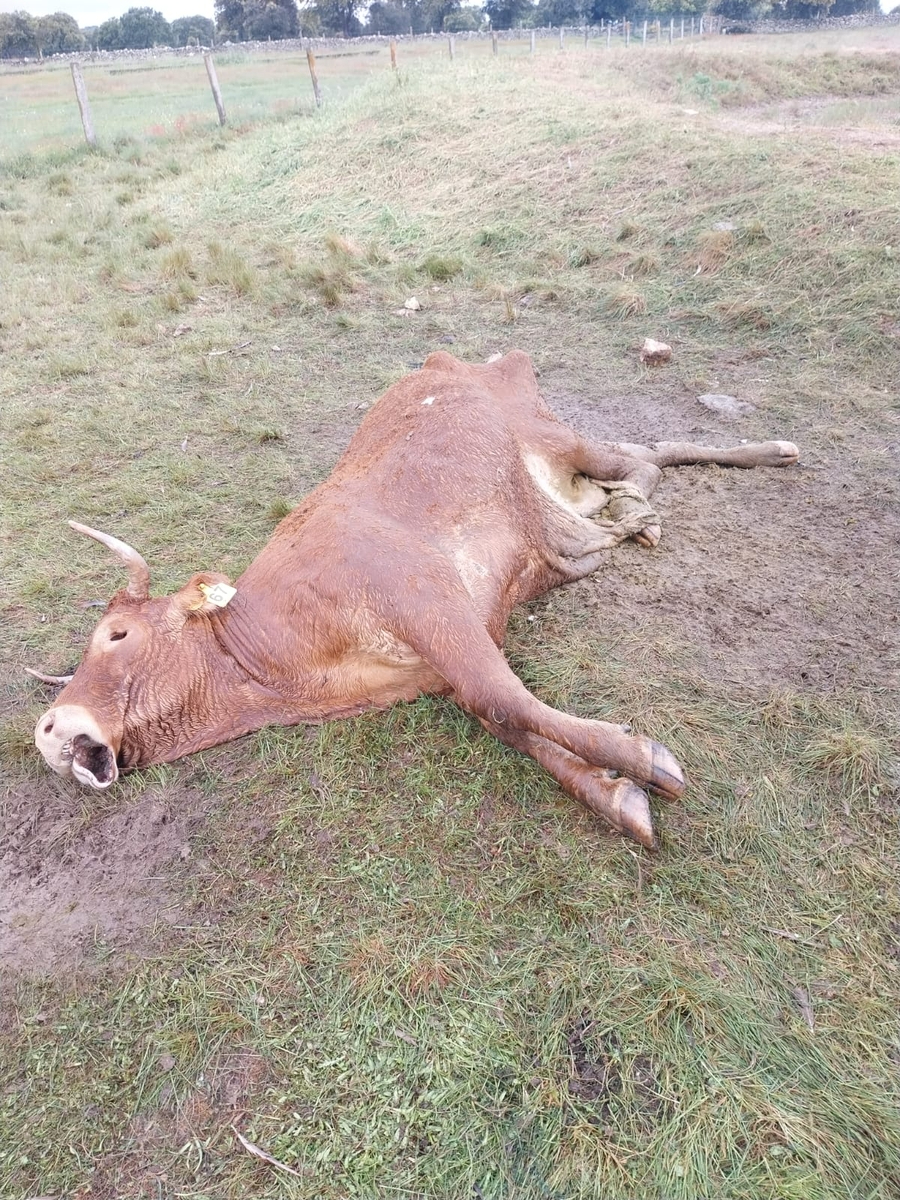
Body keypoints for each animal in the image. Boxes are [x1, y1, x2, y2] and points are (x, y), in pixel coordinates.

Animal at [31, 350, 799, 848]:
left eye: (116, 635)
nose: (46, 728)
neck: (280, 665)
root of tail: (462, 357)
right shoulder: (436, 671)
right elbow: (503, 717)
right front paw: (614, 793)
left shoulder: (423, 592)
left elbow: (507, 697)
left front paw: (644, 760)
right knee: (643, 457)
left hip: (552, 432)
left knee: (639, 457)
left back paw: (741, 463)